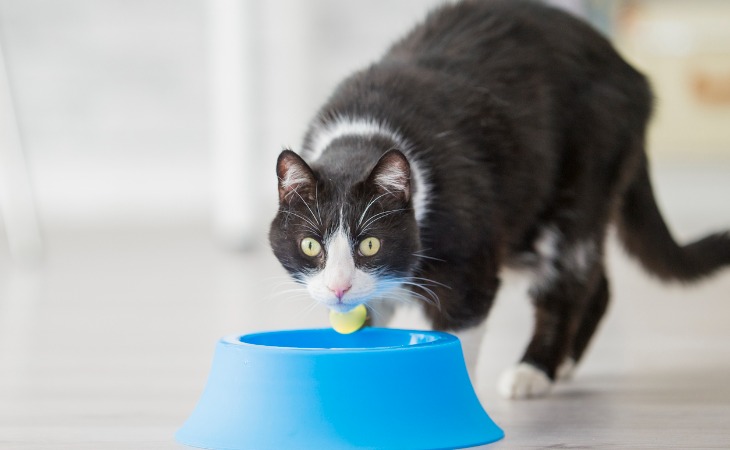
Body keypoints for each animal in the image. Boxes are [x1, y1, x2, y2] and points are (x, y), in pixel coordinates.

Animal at [268, 0, 728, 400]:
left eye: (369, 244)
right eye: (309, 245)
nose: (339, 286)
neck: (364, 138)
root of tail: (631, 72)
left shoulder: (468, 263)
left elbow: (461, 326)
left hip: (580, 182)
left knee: (569, 278)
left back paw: (535, 371)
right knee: (597, 284)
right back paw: (563, 363)